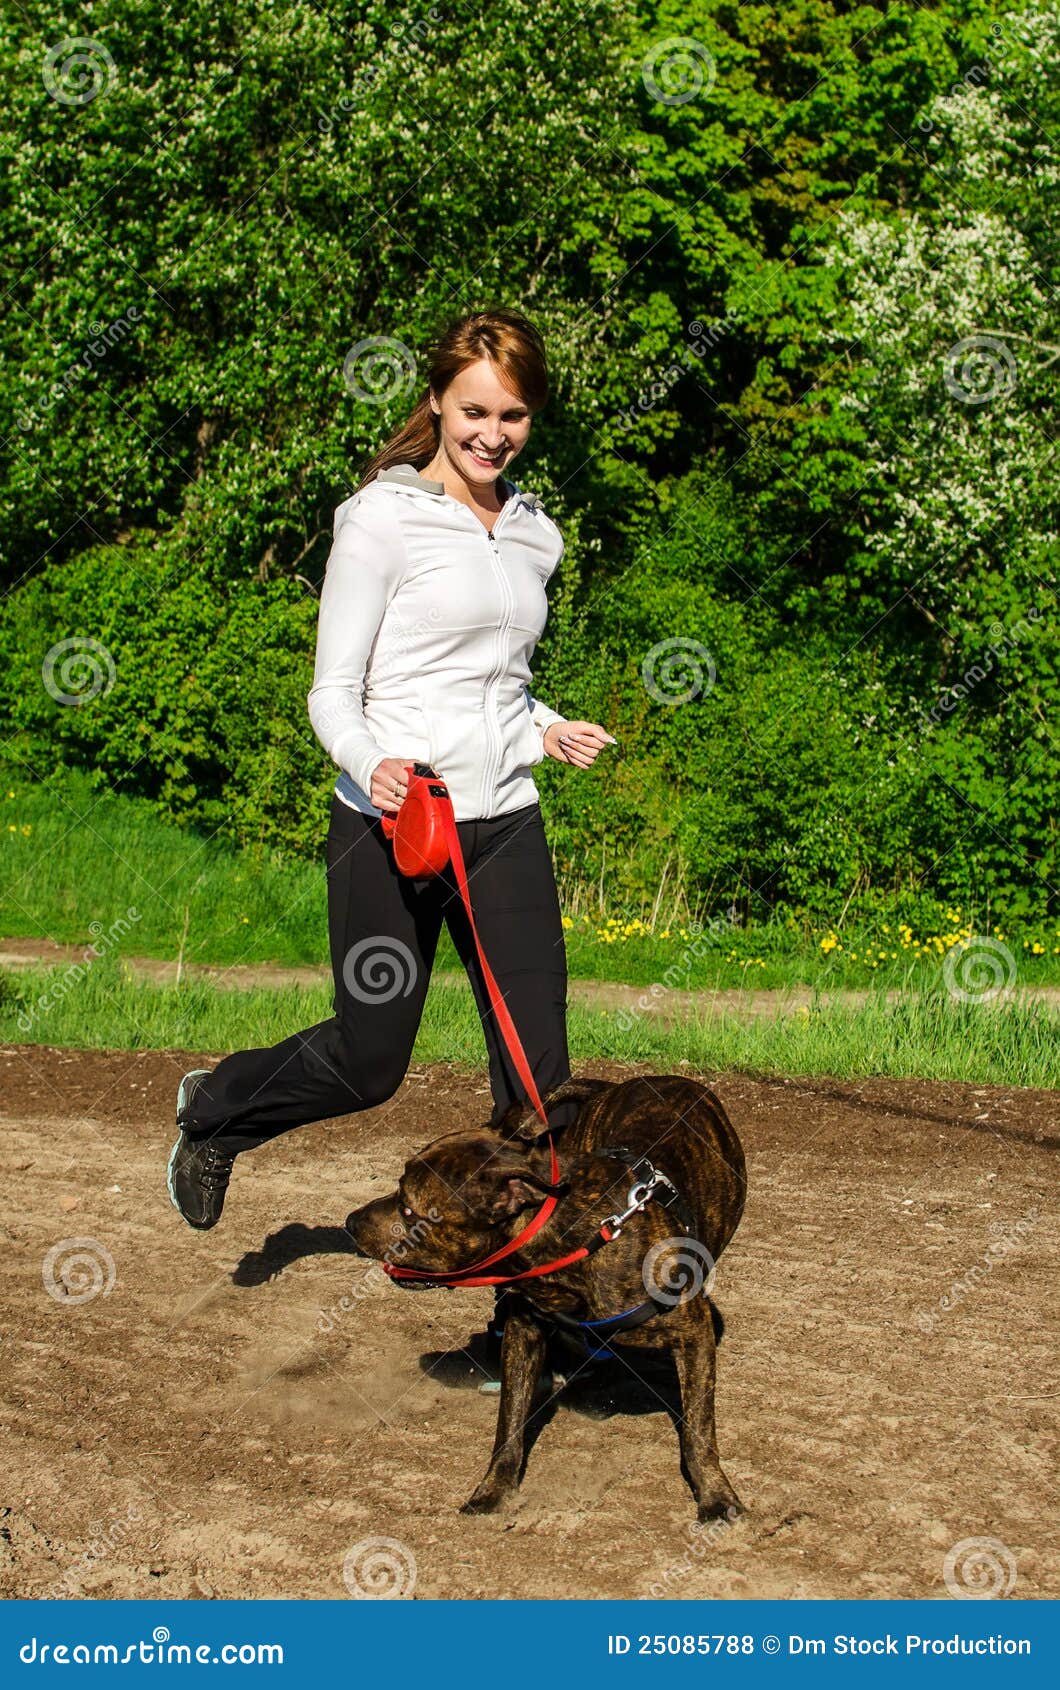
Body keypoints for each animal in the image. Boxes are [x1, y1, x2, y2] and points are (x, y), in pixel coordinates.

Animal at [348, 1074, 747, 1527]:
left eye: (409, 1210)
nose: (350, 1222)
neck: (573, 1239)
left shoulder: (693, 1334)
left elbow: (699, 1430)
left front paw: (715, 1495)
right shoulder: (523, 1331)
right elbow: (509, 1423)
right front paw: (493, 1490)